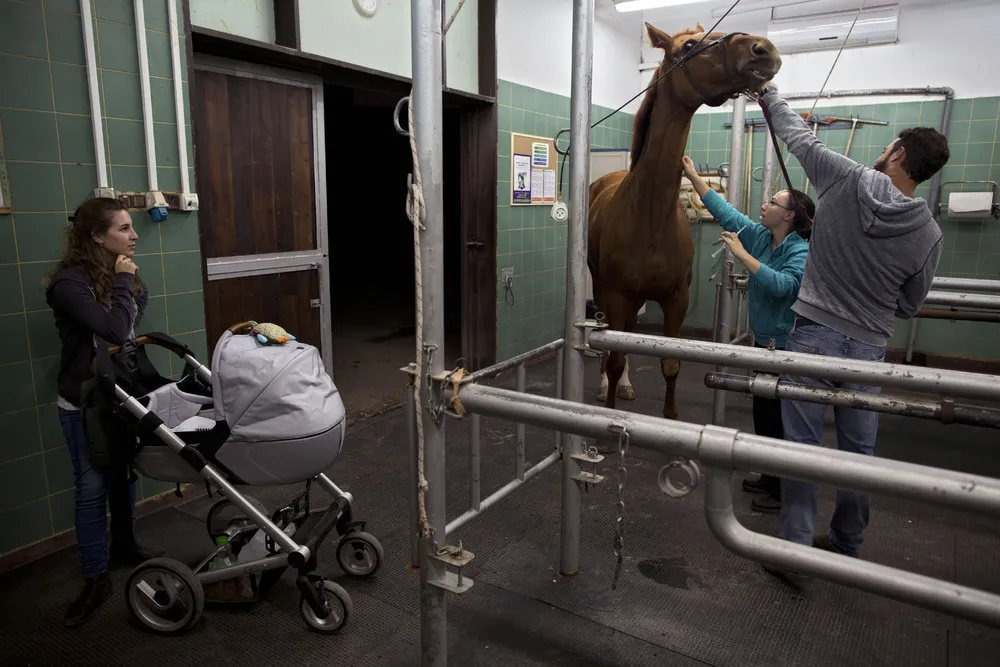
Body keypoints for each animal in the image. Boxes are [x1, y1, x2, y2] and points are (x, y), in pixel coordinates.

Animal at [589, 23, 781, 420]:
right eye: (690, 45)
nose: (763, 49)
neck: (649, 215)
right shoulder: (615, 295)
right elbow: (614, 357)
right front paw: (609, 401)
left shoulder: (677, 299)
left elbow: (671, 364)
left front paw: (671, 415)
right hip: (602, 289)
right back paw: (604, 388)